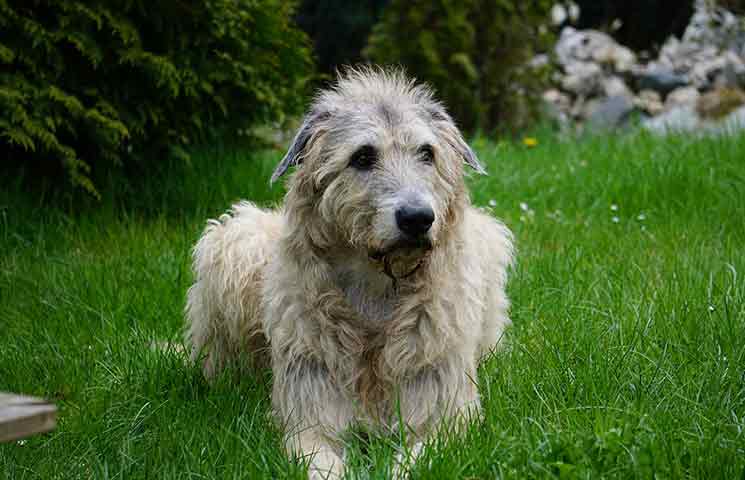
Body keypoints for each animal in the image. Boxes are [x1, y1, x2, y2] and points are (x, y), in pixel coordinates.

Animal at [184, 66, 516, 476]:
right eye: (362, 156)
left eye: (427, 153)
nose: (418, 218)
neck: (377, 286)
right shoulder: (309, 418)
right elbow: (318, 456)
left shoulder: (445, 417)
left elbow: (418, 456)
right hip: (234, 244)